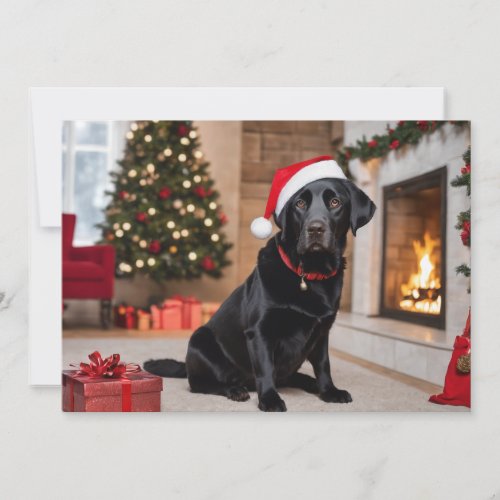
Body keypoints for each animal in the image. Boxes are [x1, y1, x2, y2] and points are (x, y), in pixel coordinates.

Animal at [143, 178, 374, 412]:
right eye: (299, 203)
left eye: (335, 202)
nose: (315, 228)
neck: (310, 275)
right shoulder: (260, 330)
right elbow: (265, 368)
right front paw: (270, 399)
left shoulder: (322, 332)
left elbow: (324, 366)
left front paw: (329, 391)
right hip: (200, 339)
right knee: (200, 383)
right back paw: (234, 390)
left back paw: (310, 383)